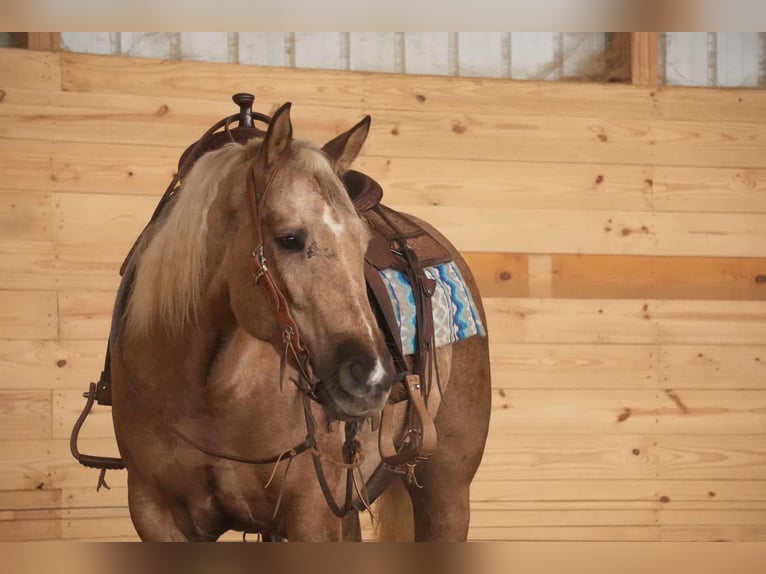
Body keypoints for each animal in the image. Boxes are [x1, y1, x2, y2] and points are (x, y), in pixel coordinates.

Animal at [108, 101, 492, 544]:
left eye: (363, 244)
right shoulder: (155, 514)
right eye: (290, 238)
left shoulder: (312, 513)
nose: (373, 378)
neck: (209, 392)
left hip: (444, 489)